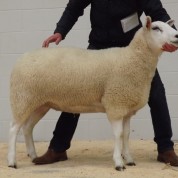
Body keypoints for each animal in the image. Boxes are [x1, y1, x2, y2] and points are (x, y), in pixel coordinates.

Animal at [7, 17, 178, 171]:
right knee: (14, 129)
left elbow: (126, 134)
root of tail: (21, 58)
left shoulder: (126, 108)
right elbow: (118, 134)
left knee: (27, 128)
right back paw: (12, 162)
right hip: (22, 99)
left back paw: (34, 156)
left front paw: (129, 159)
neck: (132, 59)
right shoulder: (115, 104)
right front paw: (118, 162)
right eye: (156, 28)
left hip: (40, 103)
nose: (177, 35)